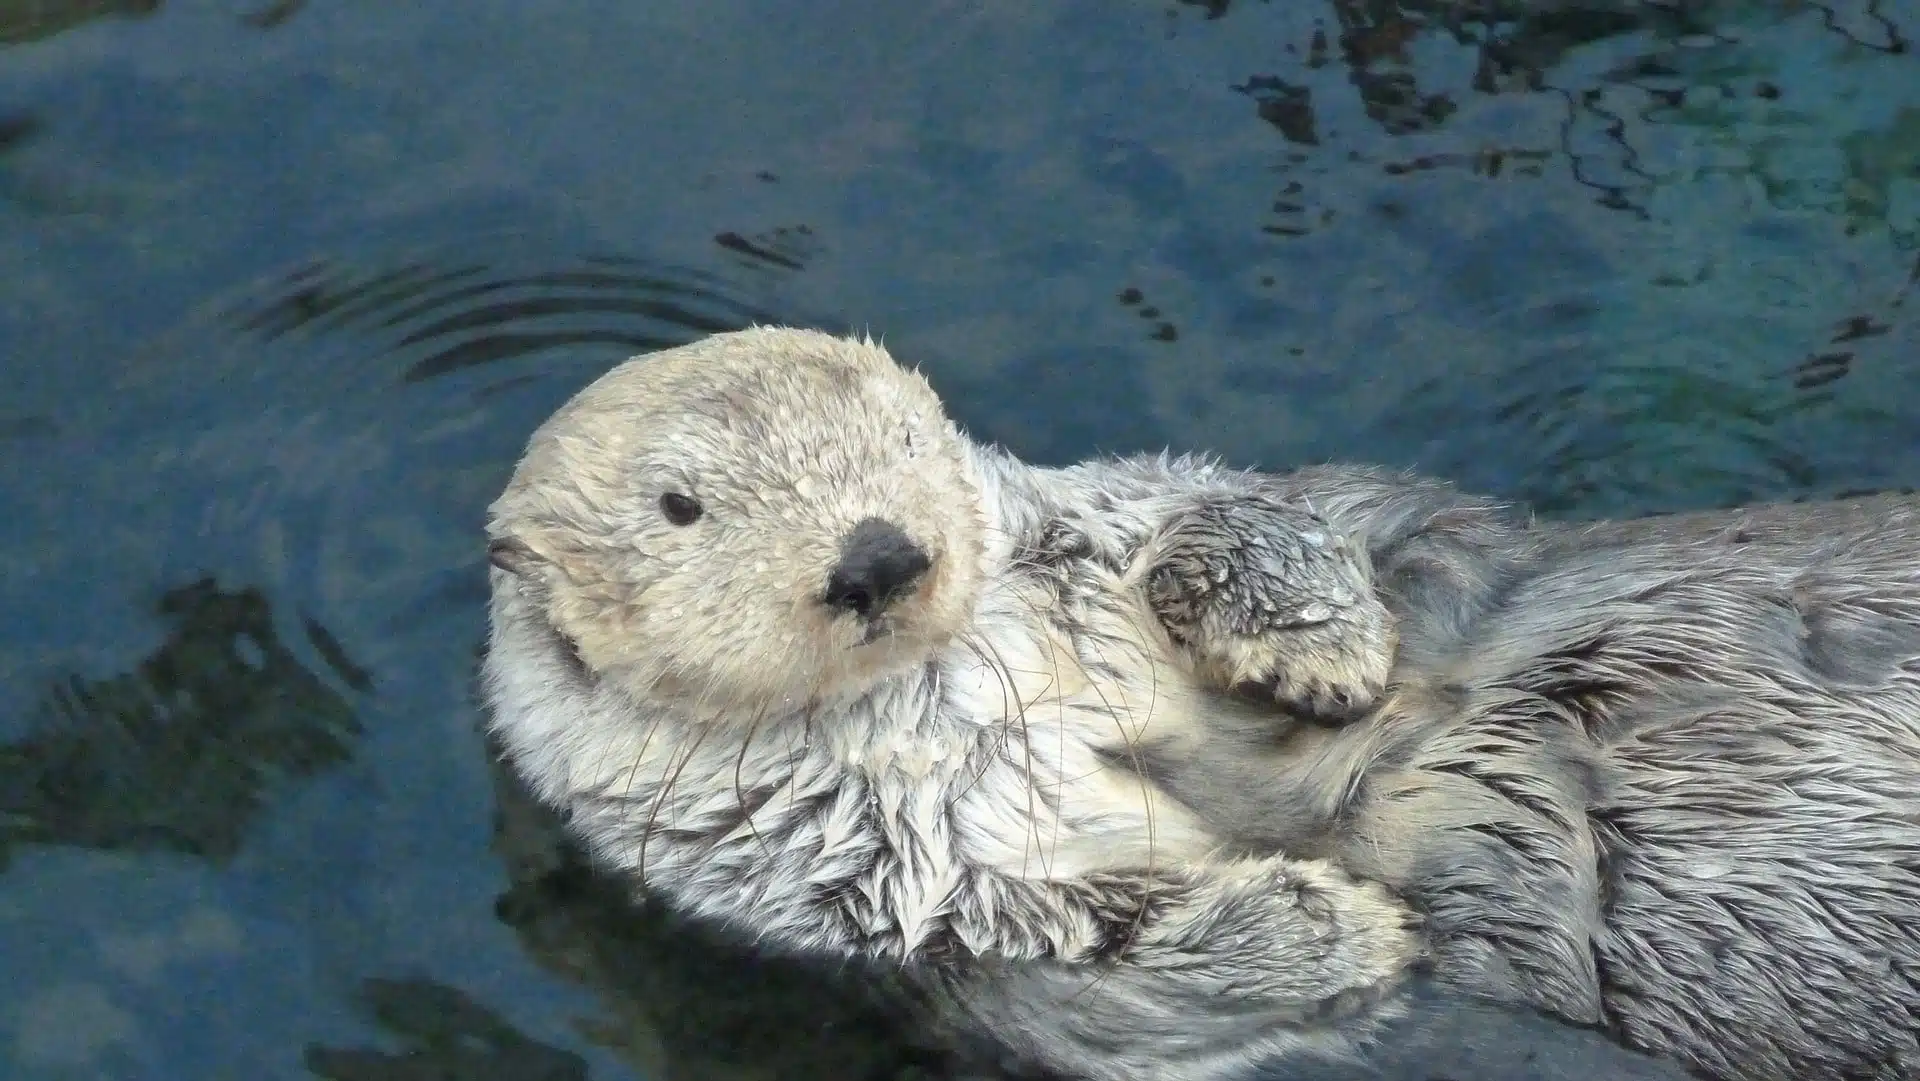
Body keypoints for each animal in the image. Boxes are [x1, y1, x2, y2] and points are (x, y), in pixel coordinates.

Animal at [480, 326, 1428, 1081]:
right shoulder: (802, 852)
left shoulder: (1068, 514)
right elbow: (1027, 922)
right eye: (680, 505)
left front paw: (1318, 643)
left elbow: (1203, 503)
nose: (876, 558)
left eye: (904, 439)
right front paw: (1325, 922)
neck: (929, 682)